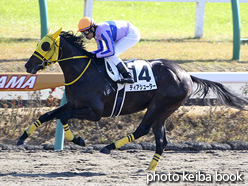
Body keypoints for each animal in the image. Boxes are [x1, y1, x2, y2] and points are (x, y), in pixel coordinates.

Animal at [16, 28, 247, 171]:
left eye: (45, 46)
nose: (28, 65)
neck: (84, 72)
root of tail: (185, 74)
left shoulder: (94, 112)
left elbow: (63, 117)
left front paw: (79, 140)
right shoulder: (73, 104)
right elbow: (48, 115)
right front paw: (22, 138)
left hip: (159, 105)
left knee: (143, 129)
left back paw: (109, 147)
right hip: (165, 110)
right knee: (161, 140)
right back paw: (150, 170)